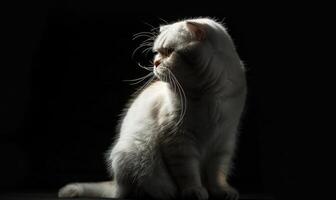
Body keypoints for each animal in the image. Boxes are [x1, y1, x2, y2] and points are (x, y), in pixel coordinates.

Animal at [58, 17, 247, 200]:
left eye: (169, 52)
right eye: (157, 52)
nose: (155, 62)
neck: (208, 95)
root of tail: (116, 183)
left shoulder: (223, 141)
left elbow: (216, 175)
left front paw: (221, 191)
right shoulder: (180, 142)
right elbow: (188, 174)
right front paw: (194, 191)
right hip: (135, 155)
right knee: (131, 191)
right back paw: (161, 193)